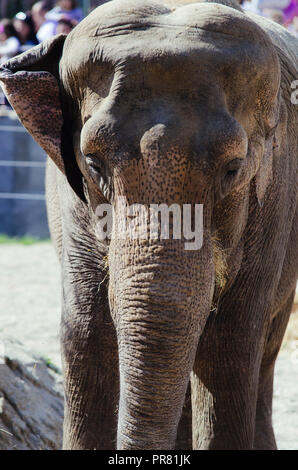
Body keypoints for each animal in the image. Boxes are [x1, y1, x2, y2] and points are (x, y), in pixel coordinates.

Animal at [0, 0, 296, 450]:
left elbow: (229, 346)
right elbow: (86, 334)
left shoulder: (273, 201)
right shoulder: (73, 208)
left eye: (233, 168)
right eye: (93, 163)